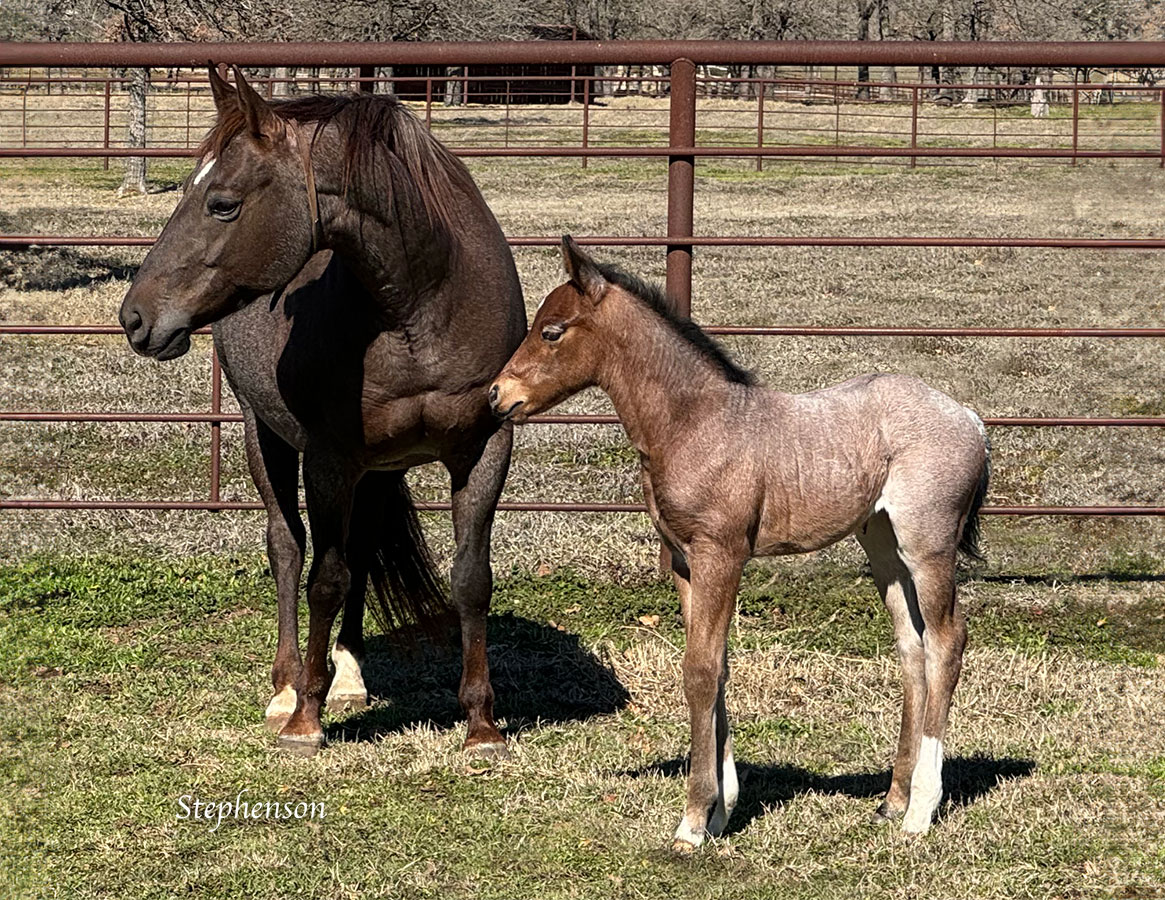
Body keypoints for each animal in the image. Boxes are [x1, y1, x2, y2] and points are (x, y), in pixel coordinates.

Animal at [118, 66, 528, 759]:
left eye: (221, 202)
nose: (135, 317)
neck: (421, 308)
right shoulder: (330, 458)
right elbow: (323, 578)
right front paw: (305, 720)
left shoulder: (482, 448)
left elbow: (471, 577)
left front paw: (481, 725)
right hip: (266, 438)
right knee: (287, 547)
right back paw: (287, 689)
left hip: (381, 469)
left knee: (358, 551)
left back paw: (349, 675)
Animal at [486, 235, 987, 847]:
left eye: (552, 331)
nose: (496, 395)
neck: (692, 422)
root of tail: (970, 418)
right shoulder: (686, 562)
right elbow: (716, 665)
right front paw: (723, 810)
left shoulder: (720, 555)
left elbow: (699, 670)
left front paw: (693, 820)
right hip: (884, 549)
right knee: (911, 648)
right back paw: (893, 800)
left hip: (927, 545)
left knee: (946, 642)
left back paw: (921, 810)